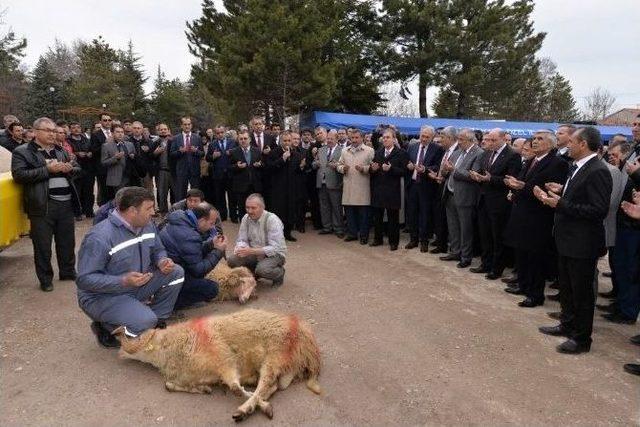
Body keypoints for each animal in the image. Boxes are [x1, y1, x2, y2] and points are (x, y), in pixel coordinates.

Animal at [113, 310, 322, 422]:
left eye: (138, 337)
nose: (120, 352)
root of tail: (309, 342)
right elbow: (169, 386)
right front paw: (202, 389)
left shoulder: (224, 360)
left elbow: (236, 387)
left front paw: (262, 407)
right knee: (271, 386)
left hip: (275, 356)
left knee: (265, 384)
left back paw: (244, 410)